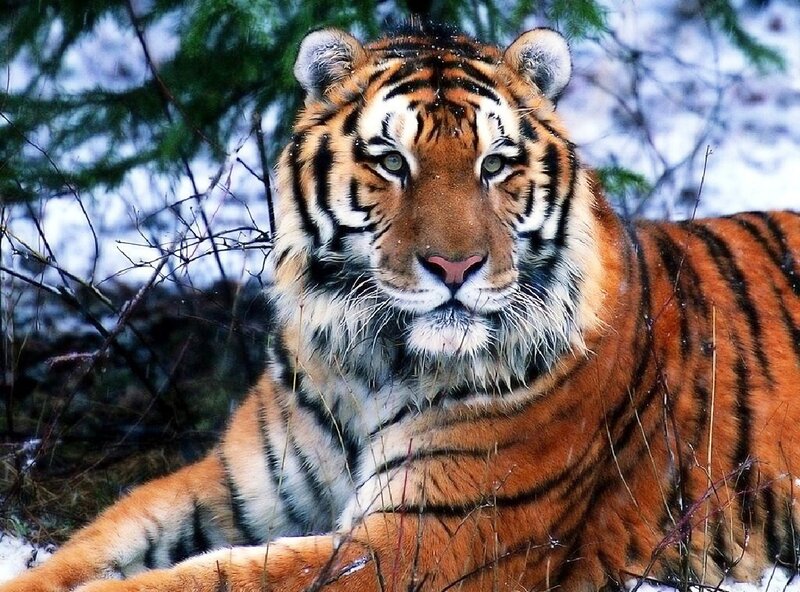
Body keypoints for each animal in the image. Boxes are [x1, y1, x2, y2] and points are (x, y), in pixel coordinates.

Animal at [2, 22, 800, 592]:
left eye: (495, 164)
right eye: (392, 162)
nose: (455, 267)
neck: (369, 362)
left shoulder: (426, 538)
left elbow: (219, 580)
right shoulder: (232, 488)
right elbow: (100, 539)